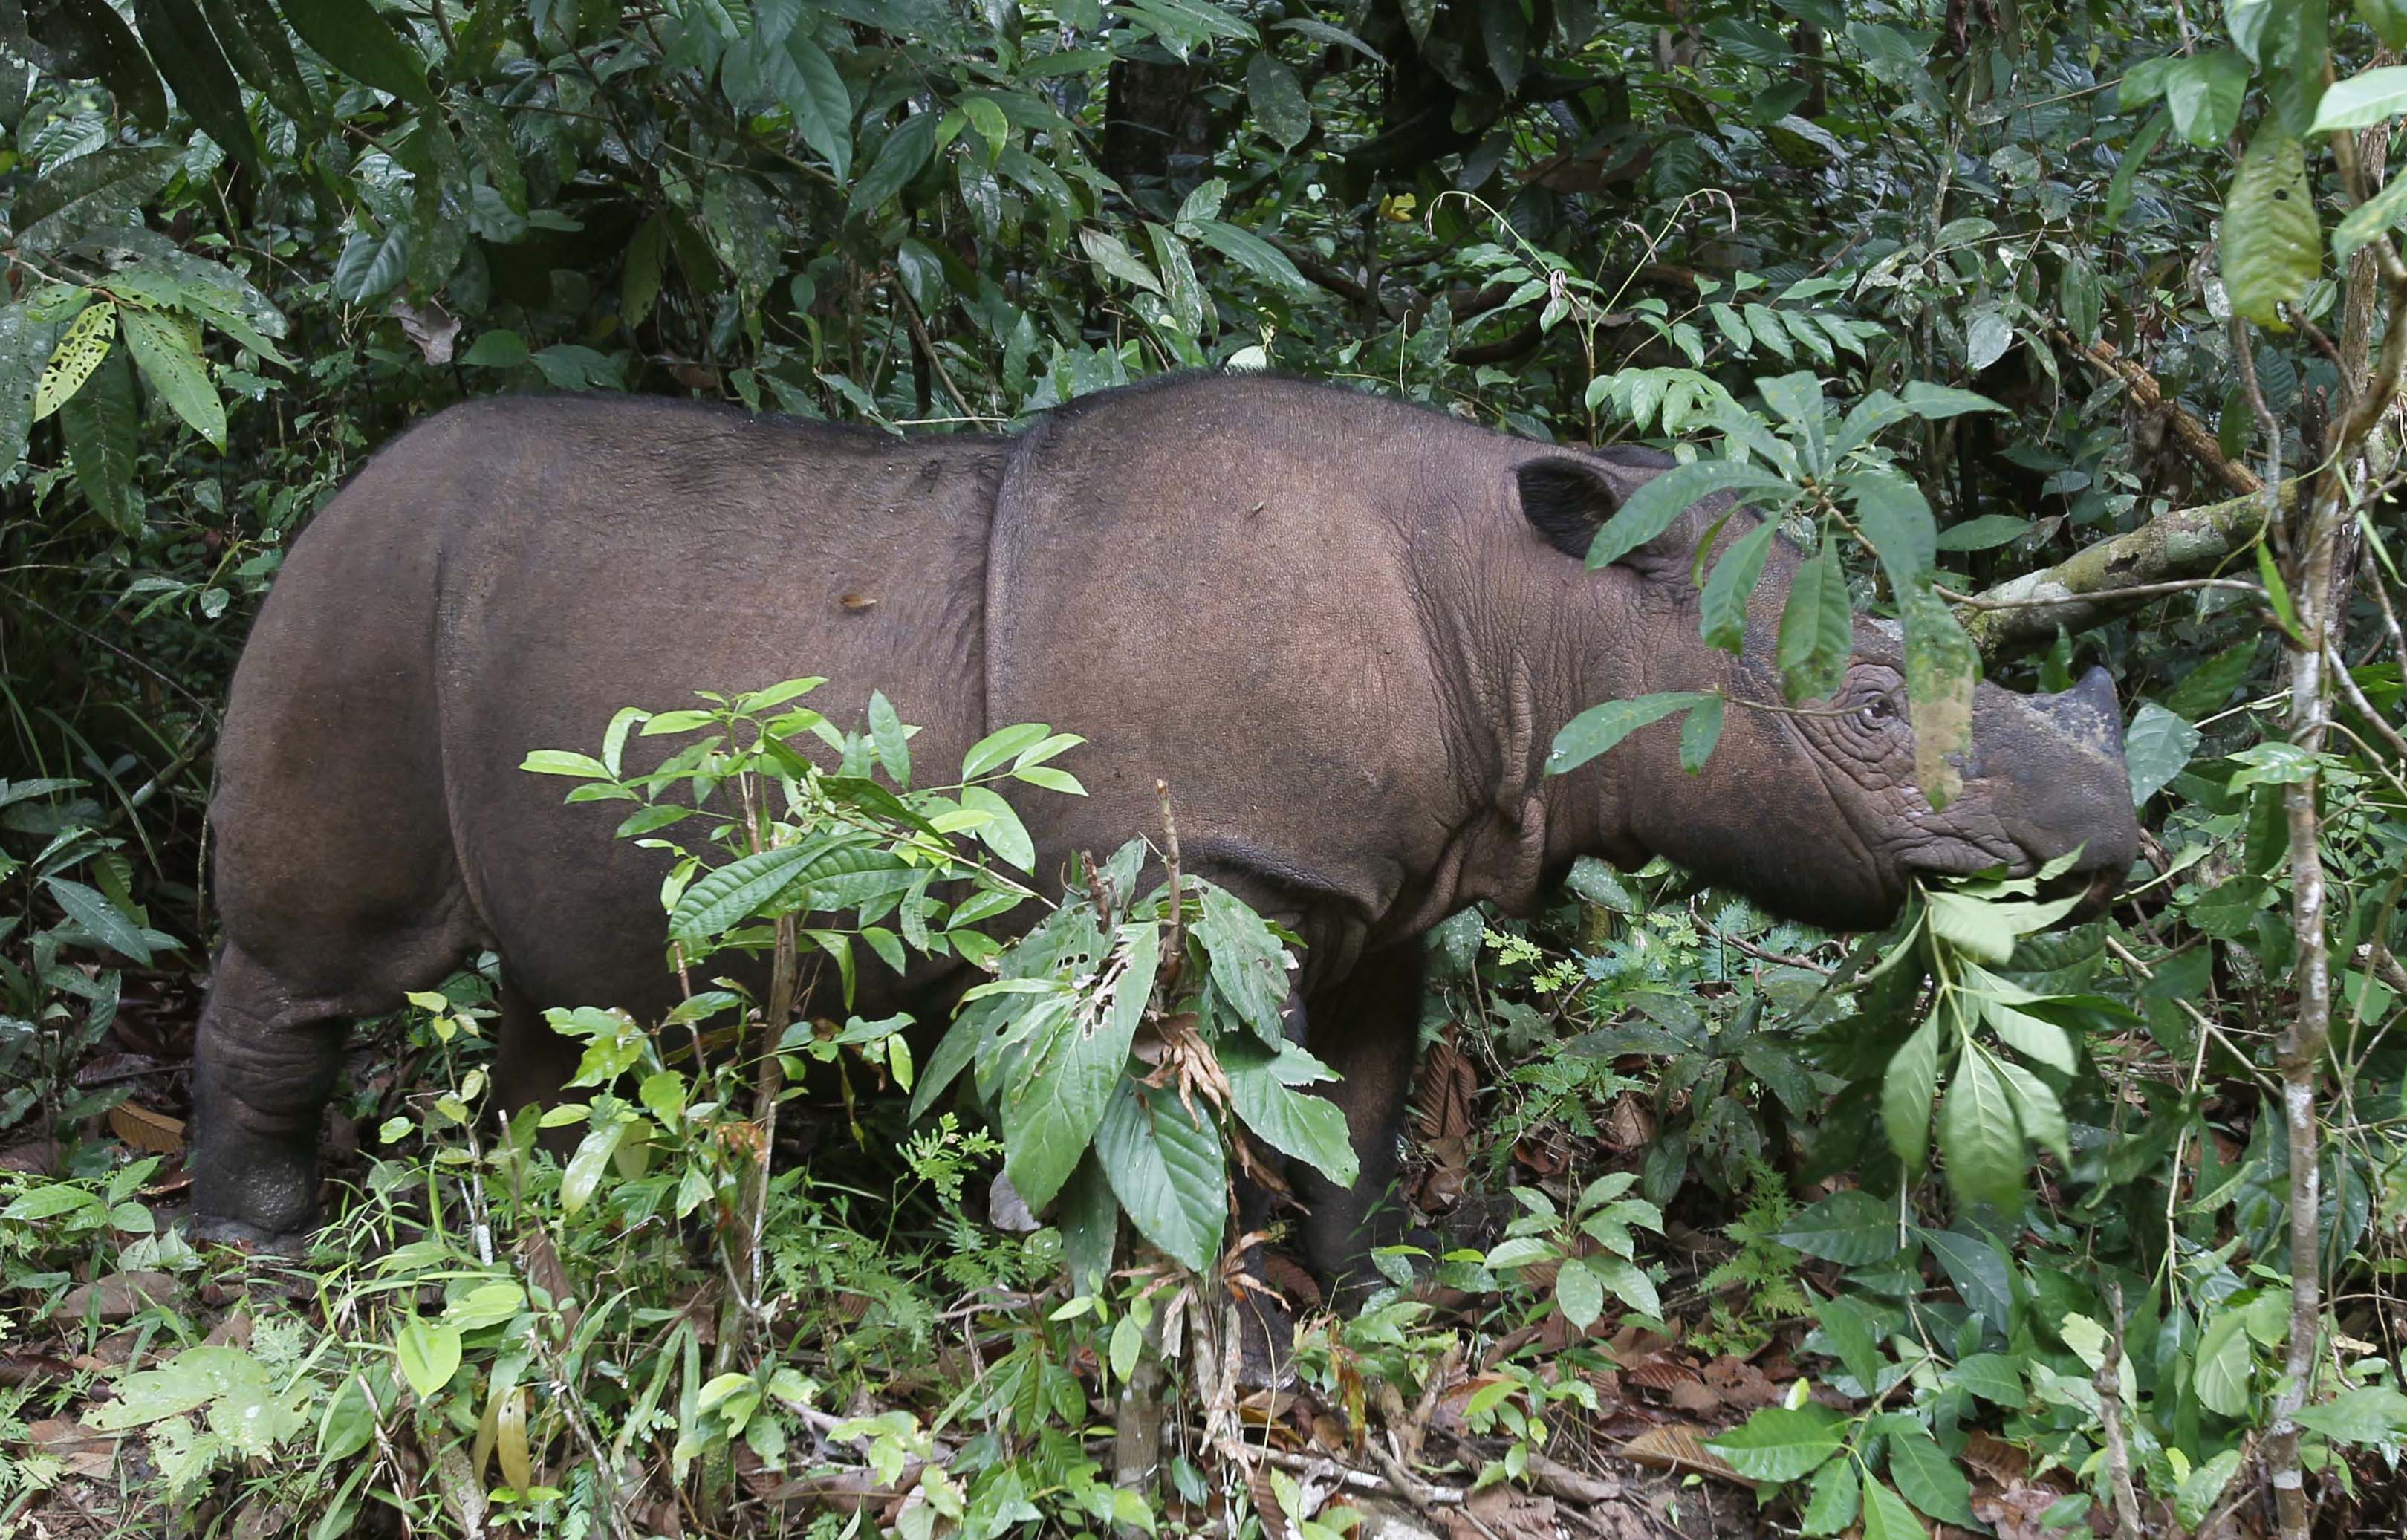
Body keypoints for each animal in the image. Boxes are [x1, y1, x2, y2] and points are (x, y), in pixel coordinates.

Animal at [192, 370, 2147, 1261]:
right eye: (1873, 714)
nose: (2113, 838)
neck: (1537, 618)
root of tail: (338, 492)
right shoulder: (1207, 870)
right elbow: (1164, 1124)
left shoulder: (1378, 872)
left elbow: (1355, 1104)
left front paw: (1361, 1296)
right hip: (359, 597)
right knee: (311, 956)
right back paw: (256, 1248)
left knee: (572, 995)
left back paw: (541, 1230)